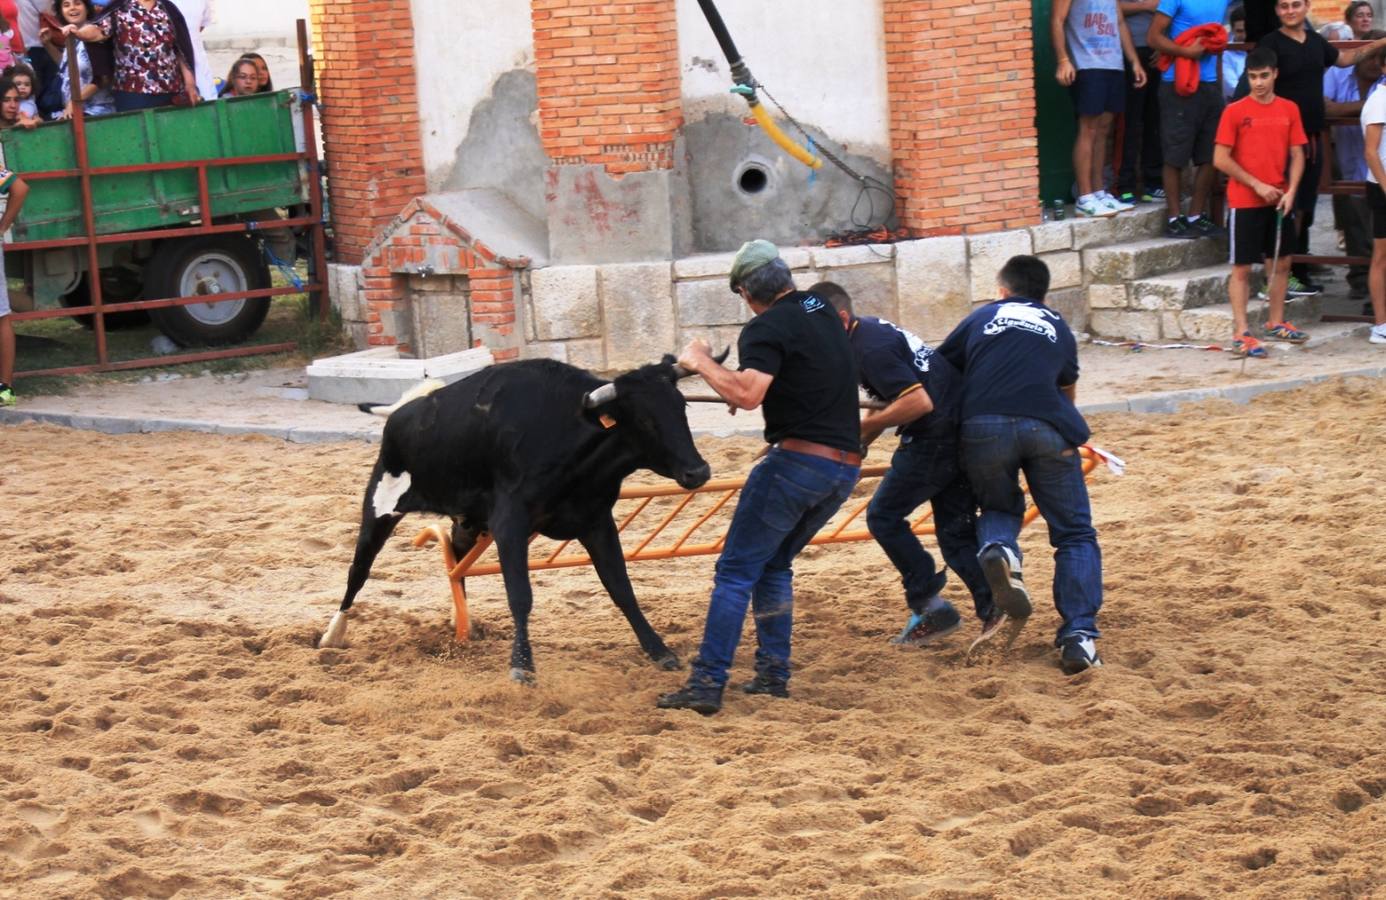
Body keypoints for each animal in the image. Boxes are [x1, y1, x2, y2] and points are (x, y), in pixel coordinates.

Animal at [317, 355, 720, 682]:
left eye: (682, 407)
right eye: (644, 420)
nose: (697, 471)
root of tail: (403, 411)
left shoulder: (596, 521)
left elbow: (621, 588)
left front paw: (659, 649)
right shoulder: (510, 523)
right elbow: (520, 595)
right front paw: (522, 665)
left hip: (466, 523)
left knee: (457, 565)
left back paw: (462, 628)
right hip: (381, 505)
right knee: (358, 572)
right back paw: (332, 634)